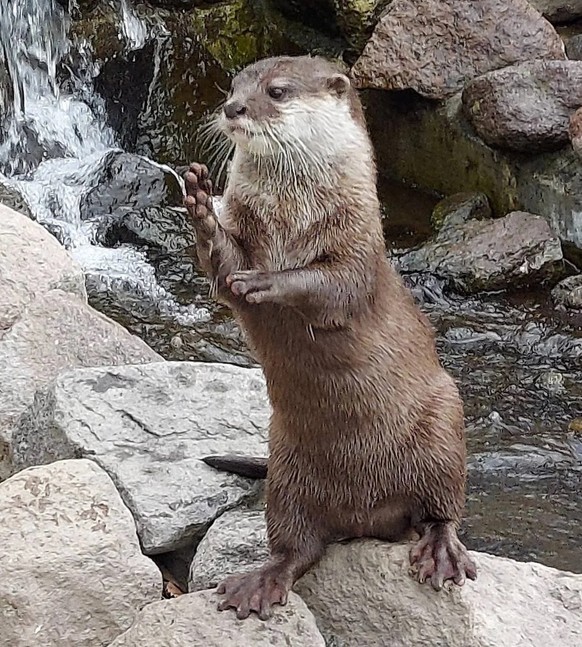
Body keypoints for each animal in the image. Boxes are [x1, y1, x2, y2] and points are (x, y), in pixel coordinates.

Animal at [184, 55, 480, 624]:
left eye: (276, 91)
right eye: (234, 85)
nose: (232, 109)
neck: (290, 220)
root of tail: (368, 515)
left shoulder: (356, 246)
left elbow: (329, 284)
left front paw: (267, 280)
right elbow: (225, 272)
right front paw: (202, 209)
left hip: (442, 427)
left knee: (443, 508)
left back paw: (440, 550)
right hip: (286, 471)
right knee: (295, 547)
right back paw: (259, 582)